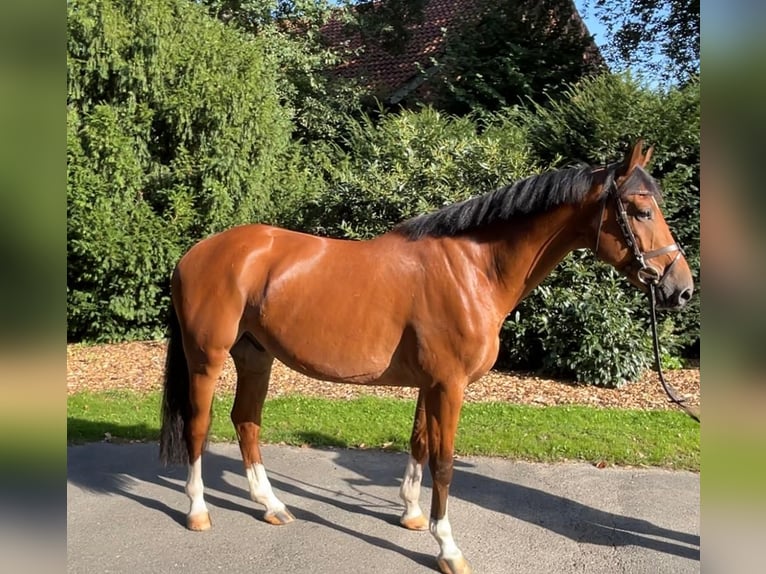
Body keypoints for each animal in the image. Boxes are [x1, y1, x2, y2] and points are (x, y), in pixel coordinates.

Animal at [160, 141, 696, 574]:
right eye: (641, 211)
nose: (681, 288)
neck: (474, 269)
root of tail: (194, 253)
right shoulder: (448, 386)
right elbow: (444, 462)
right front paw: (448, 548)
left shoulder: (429, 384)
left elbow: (418, 443)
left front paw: (412, 515)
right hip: (207, 358)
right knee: (200, 427)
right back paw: (197, 511)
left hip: (256, 357)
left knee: (246, 421)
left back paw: (270, 504)